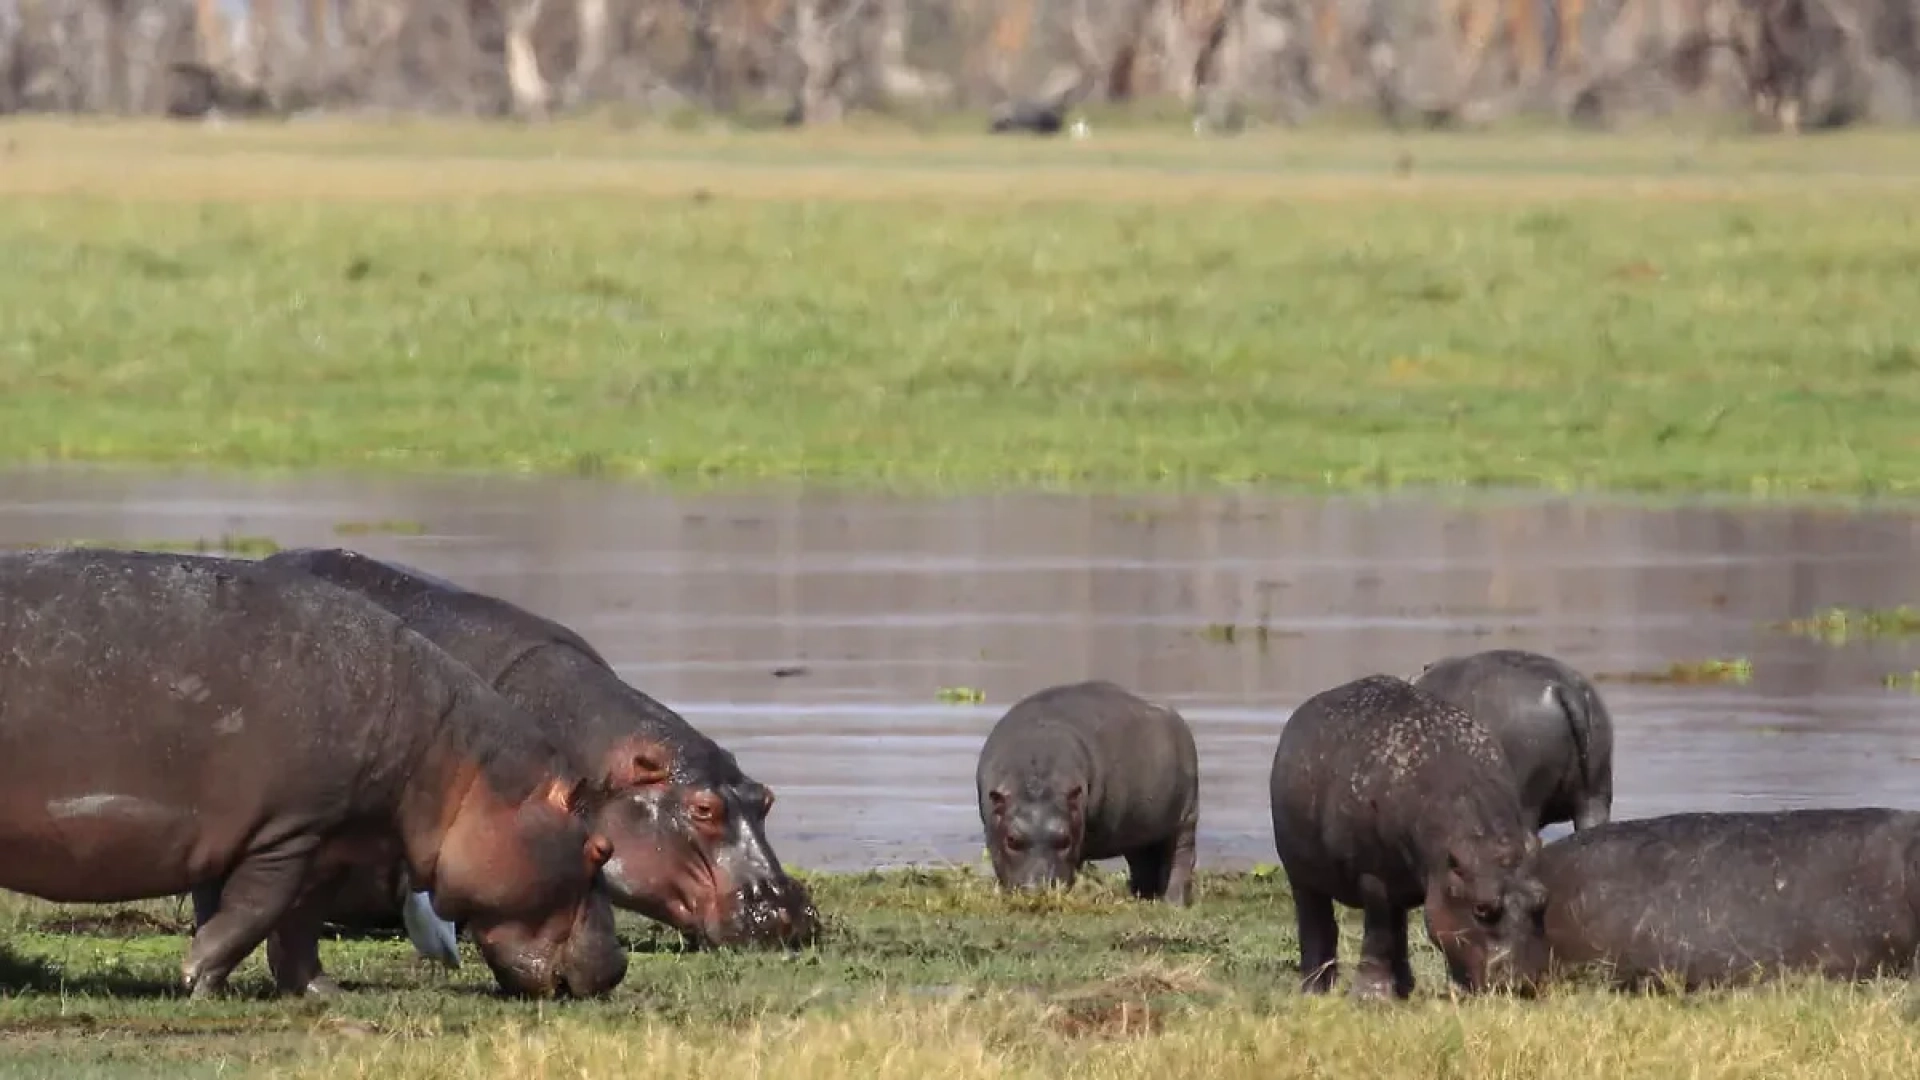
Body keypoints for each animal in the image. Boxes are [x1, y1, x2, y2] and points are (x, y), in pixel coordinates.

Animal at [0, 548, 626, 999]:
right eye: (599, 848)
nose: (618, 967)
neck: (458, 766)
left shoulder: (333, 842)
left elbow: (298, 927)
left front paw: (323, 993)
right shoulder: (288, 832)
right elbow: (254, 912)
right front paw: (198, 980)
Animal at [975, 680, 1199, 904]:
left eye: (1065, 840)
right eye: (1012, 840)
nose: (1039, 890)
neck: (1036, 778)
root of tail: (1176, 716)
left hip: (1186, 817)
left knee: (1180, 859)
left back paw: (1173, 903)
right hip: (1140, 829)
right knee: (1144, 863)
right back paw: (1142, 897)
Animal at [1269, 674, 1546, 1000]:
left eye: (1542, 900)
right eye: (1482, 908)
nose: (1524, 982)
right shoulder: (1372, 874)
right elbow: (1378, 931)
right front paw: (1370, 998)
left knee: (1396, 925)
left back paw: (1402, 989)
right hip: (1301, 874)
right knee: (1318, 922)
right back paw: (1316, 991)